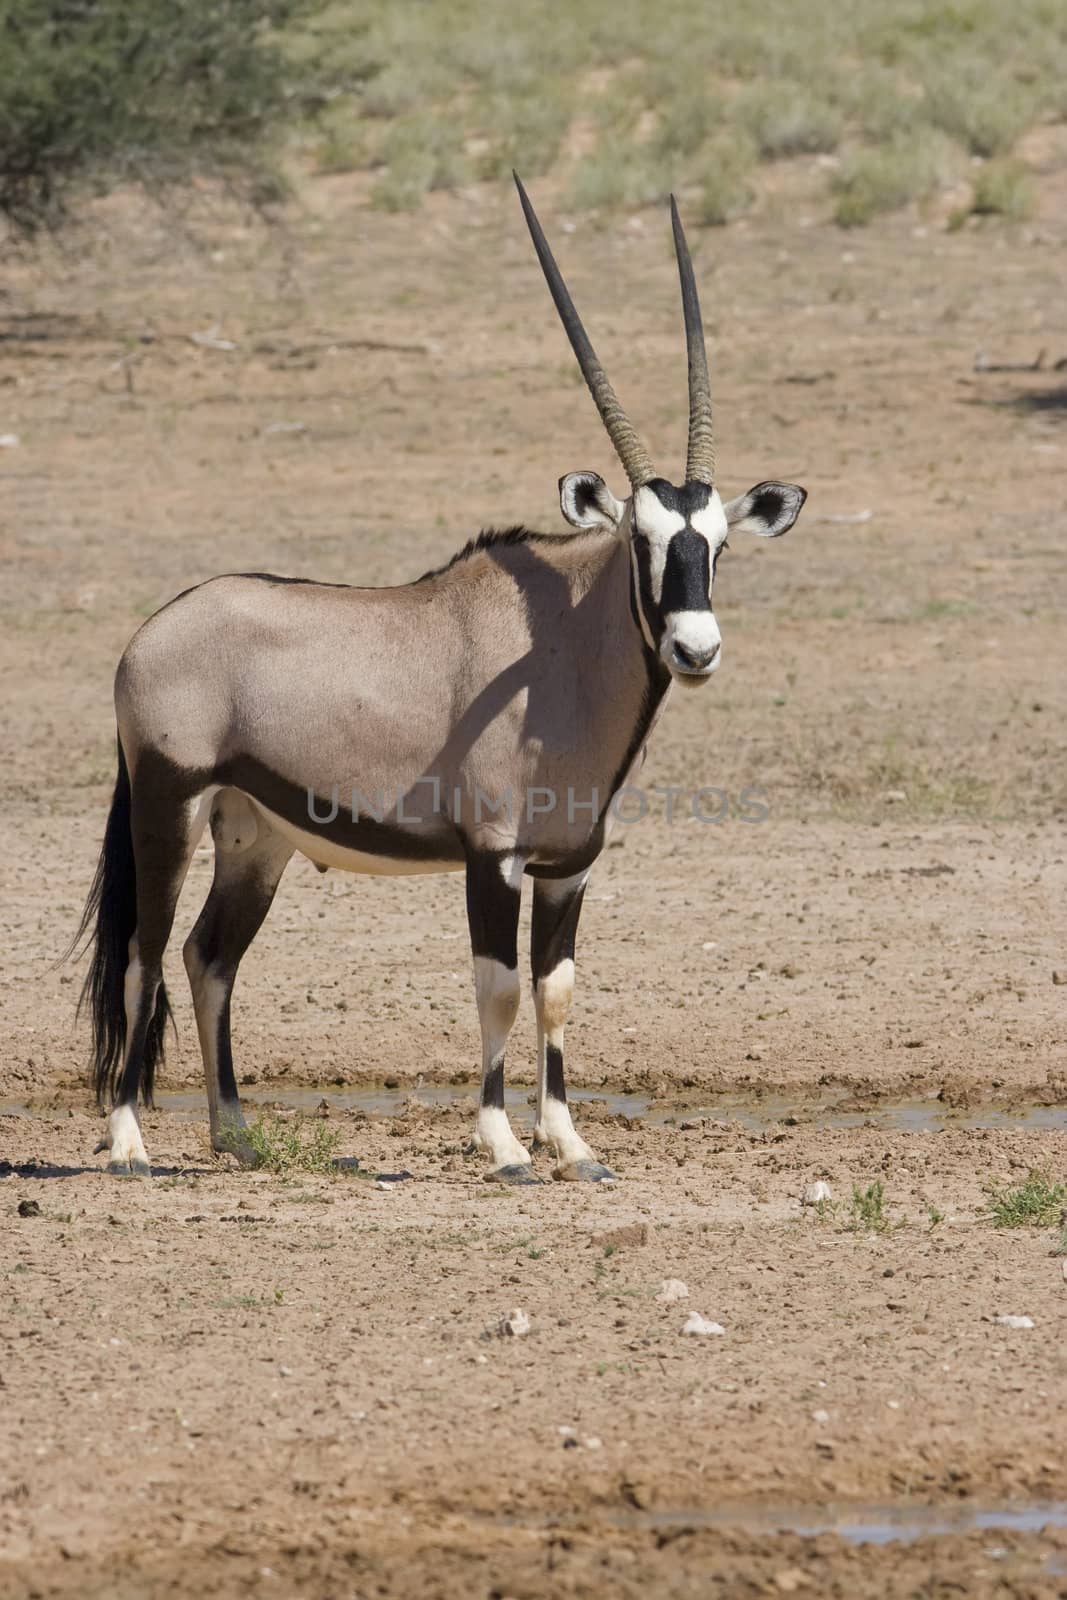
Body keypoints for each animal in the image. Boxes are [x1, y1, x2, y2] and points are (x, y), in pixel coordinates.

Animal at [75, 178, 806, 1177]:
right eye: (640, 539)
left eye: (719, 544)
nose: (695, 649)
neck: (560, 648)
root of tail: (151, 631)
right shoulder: (492, 855)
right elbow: (496, 987)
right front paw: (502, 1143)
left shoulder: (569, 866)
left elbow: (554, 988)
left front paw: (571, 1143)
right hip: (168, 804)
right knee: (142, 954)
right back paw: (130, 1142)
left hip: (254, 836)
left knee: (208, 955)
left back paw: (238, 1135)